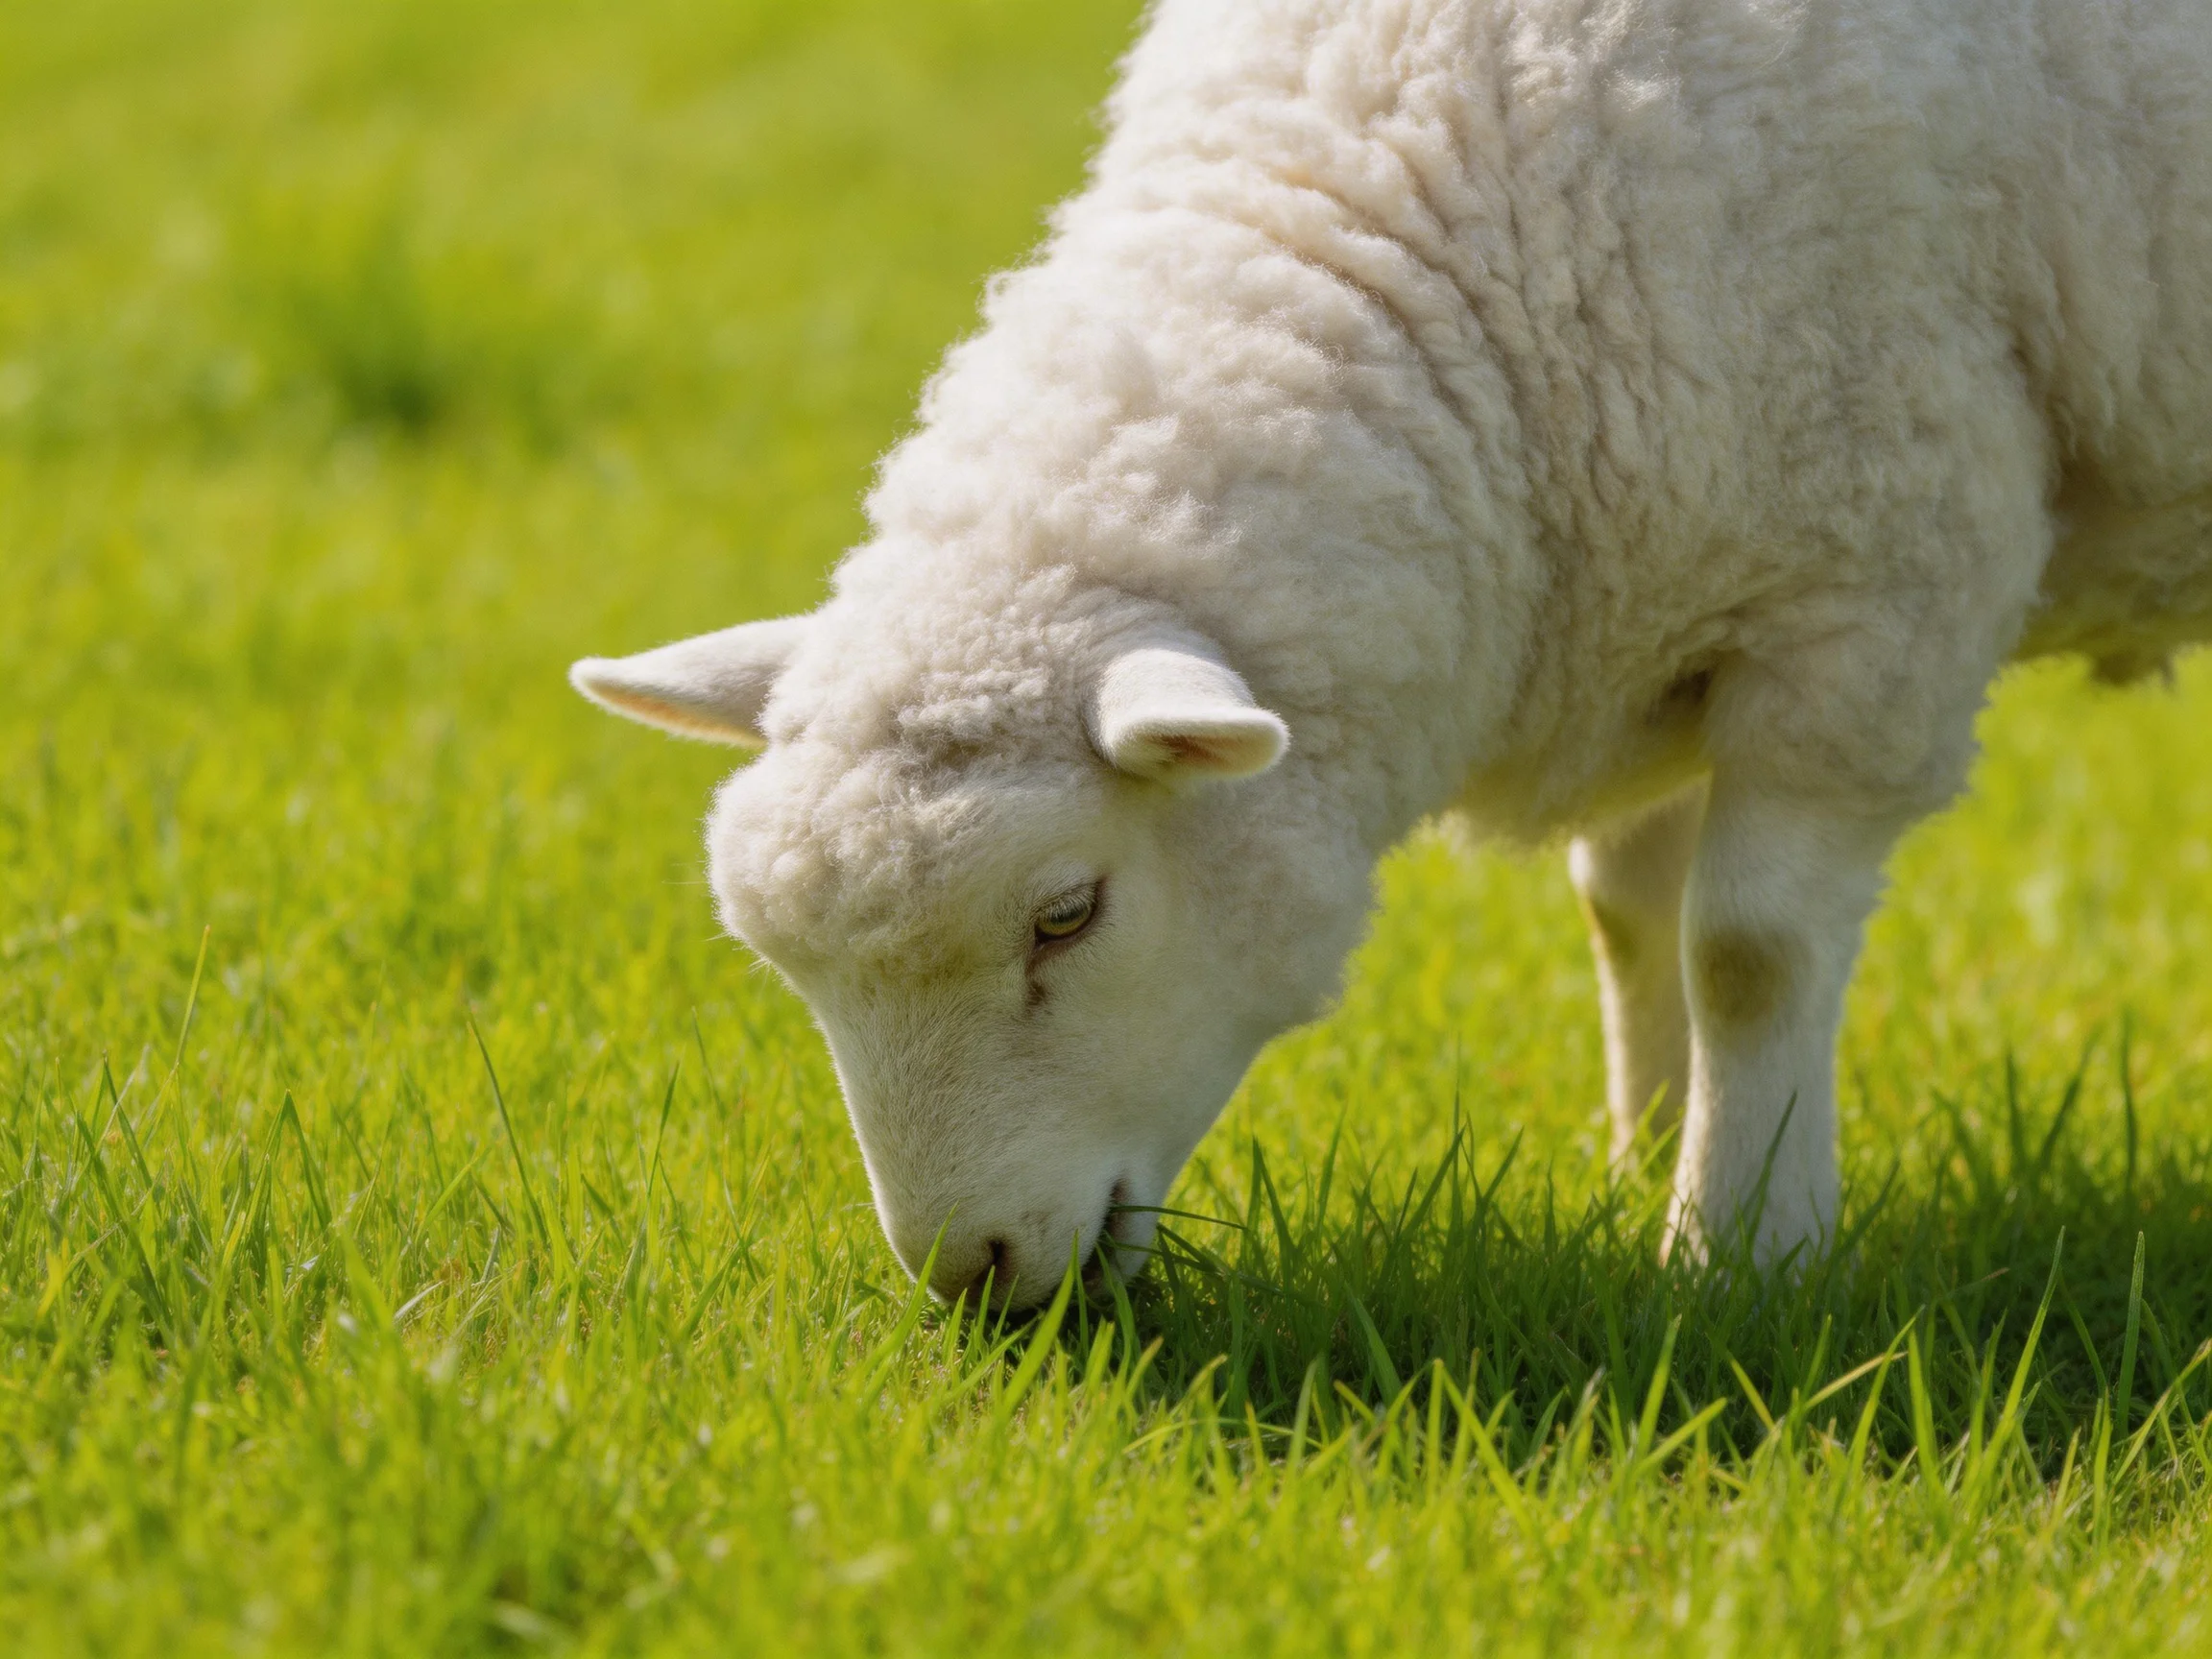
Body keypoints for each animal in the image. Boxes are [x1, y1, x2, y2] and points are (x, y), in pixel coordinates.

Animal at [573, 0, 2212, 1306]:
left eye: (1067, 915)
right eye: (786, 968)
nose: (969, 1279)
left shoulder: (1868, 592)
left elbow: (1747, 953)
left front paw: (1744, 1253)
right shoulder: (1671, 588)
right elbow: (1630, 910)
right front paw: (1644, 1163)